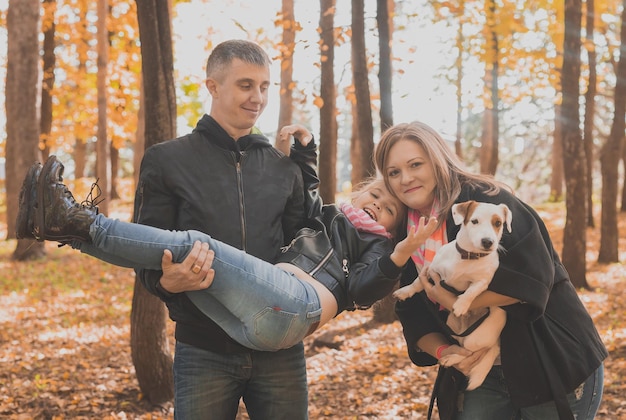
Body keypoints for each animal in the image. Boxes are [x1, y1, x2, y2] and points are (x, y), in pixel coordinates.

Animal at [392, 200, 510, 390]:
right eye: (474, 221)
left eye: (498, 223)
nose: (488, 242)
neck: (468, 257)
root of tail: (496, 344)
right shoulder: (432, 270)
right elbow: (417, 282)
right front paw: (405, 291)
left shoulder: (482, 281)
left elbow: (471, 291)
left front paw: (461, 304)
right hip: (451, 326)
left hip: (475, 338)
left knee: (468, 353)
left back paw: (451, 358)